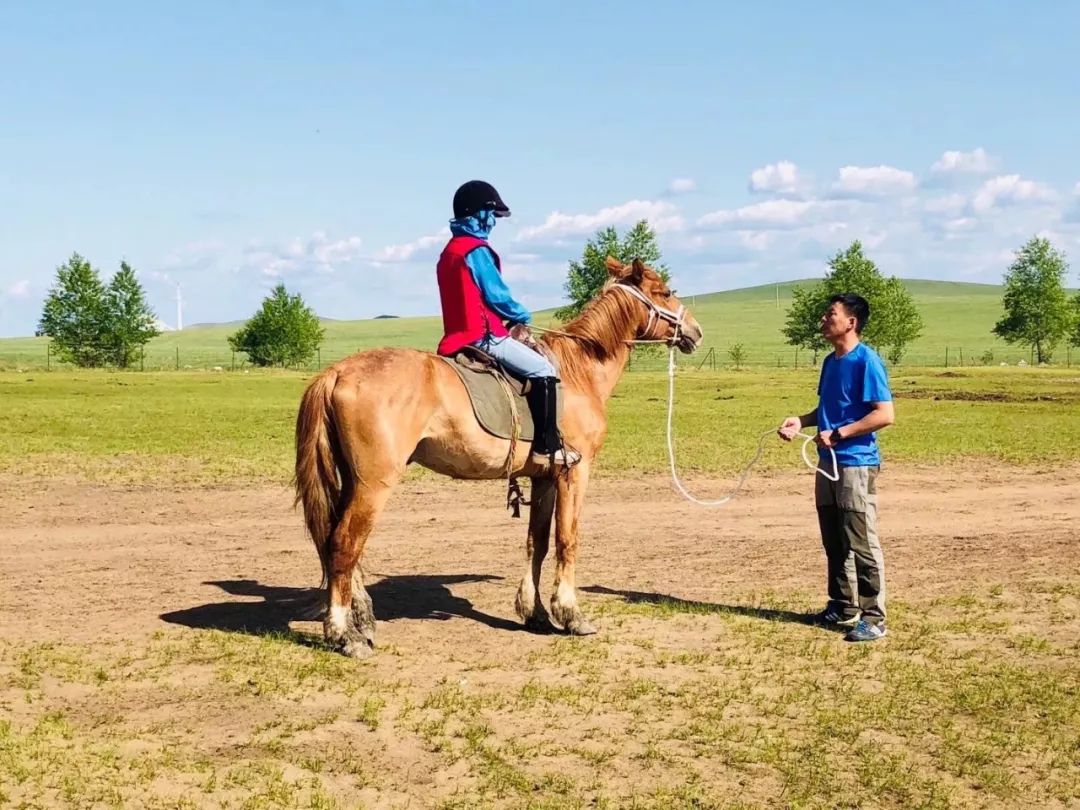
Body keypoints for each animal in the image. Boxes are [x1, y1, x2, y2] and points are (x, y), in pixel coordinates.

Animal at [291, 258, 704, 660]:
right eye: (665, 292)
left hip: (352, 481)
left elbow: (537, 542)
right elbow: (567, 539)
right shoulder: (575, 473)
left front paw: (535, 613)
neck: (579, 371)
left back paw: (363, 620)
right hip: (374, 483)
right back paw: (344, 635)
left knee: (342, 545)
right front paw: (571, 614)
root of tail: (337, 371)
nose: (696, 331)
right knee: (344, 544)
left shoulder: (544, 477)